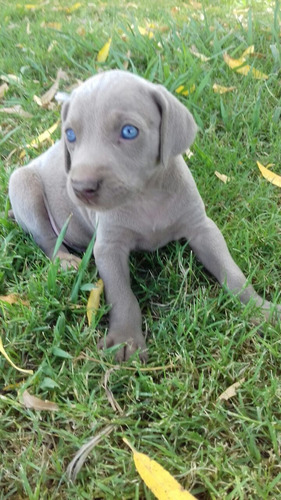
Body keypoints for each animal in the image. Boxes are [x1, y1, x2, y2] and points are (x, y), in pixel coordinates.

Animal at [7, 69, 278, 360]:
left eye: (129, 131)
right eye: (69, 135)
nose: (81, 188)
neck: (145, 195)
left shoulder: (203, 228)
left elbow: (232, 272)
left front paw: (261, 309)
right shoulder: (108, 247)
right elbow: (122, 295)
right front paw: (125, 340)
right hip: (23, 185)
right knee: (46, 237)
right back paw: (65, 261)